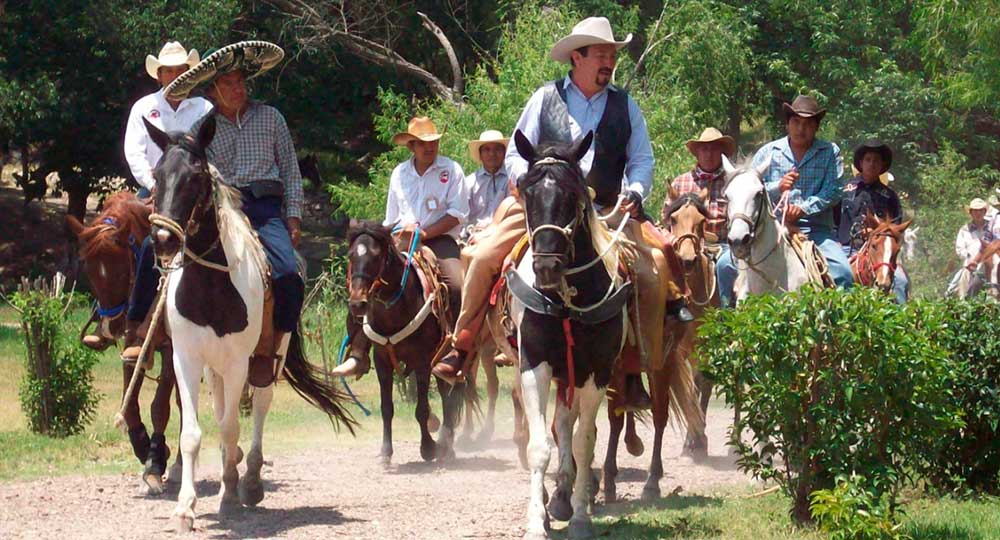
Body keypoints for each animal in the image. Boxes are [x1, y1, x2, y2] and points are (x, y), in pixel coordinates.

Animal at [66, 192, 182, 492]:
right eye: (90, 271)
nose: (112, 325)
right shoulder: (134, 345)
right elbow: (130, 405)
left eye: (120, 271)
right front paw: (143, 446)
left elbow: (160, 407)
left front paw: (155, 461)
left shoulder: (172, 349)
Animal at [143, 118, 356, 532]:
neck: (211, 284)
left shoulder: (239, 361)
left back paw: (251, 481)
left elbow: (230, 427)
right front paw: (185, 508)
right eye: (157, 175)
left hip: (268, 357)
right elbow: (193, 432)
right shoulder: (186, 359)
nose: (163, 238)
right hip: (215, 368)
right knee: (223, 407)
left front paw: (229, 495)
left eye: (196, 177)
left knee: (259, 405)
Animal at [346, 220, 466, 464]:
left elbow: (422, 409)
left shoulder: (422, 362)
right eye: (351, 255)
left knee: (449, 397)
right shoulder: (382, 360)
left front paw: (428, 448)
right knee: (445, 394)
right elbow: (386, 408)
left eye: (376, 256)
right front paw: (385, 451)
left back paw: (447, 448)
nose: (357, 304)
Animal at [512, 132, 628, 540]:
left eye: (574, 194)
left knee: (571, 426)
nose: (547, 266)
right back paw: (555, 499)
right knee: (560, 425)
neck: (564, 300)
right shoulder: (534, 364)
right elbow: (539, 447)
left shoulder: (596, 372)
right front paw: (536, 521)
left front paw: (579, 517)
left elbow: (583, 442)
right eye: (527, 191)